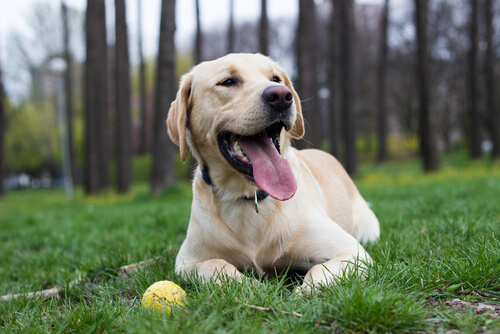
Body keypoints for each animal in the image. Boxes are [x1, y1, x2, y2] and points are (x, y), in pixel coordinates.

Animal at [168, 53, 378, 290]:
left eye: (276, 79)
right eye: (228, 81)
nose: (281, 96)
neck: (248, 195)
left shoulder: (353, 252)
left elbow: (318, 270)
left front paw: (304, 292)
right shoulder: (186, 261)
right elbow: (215, 265)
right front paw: (249, 286)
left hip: (368, 230)